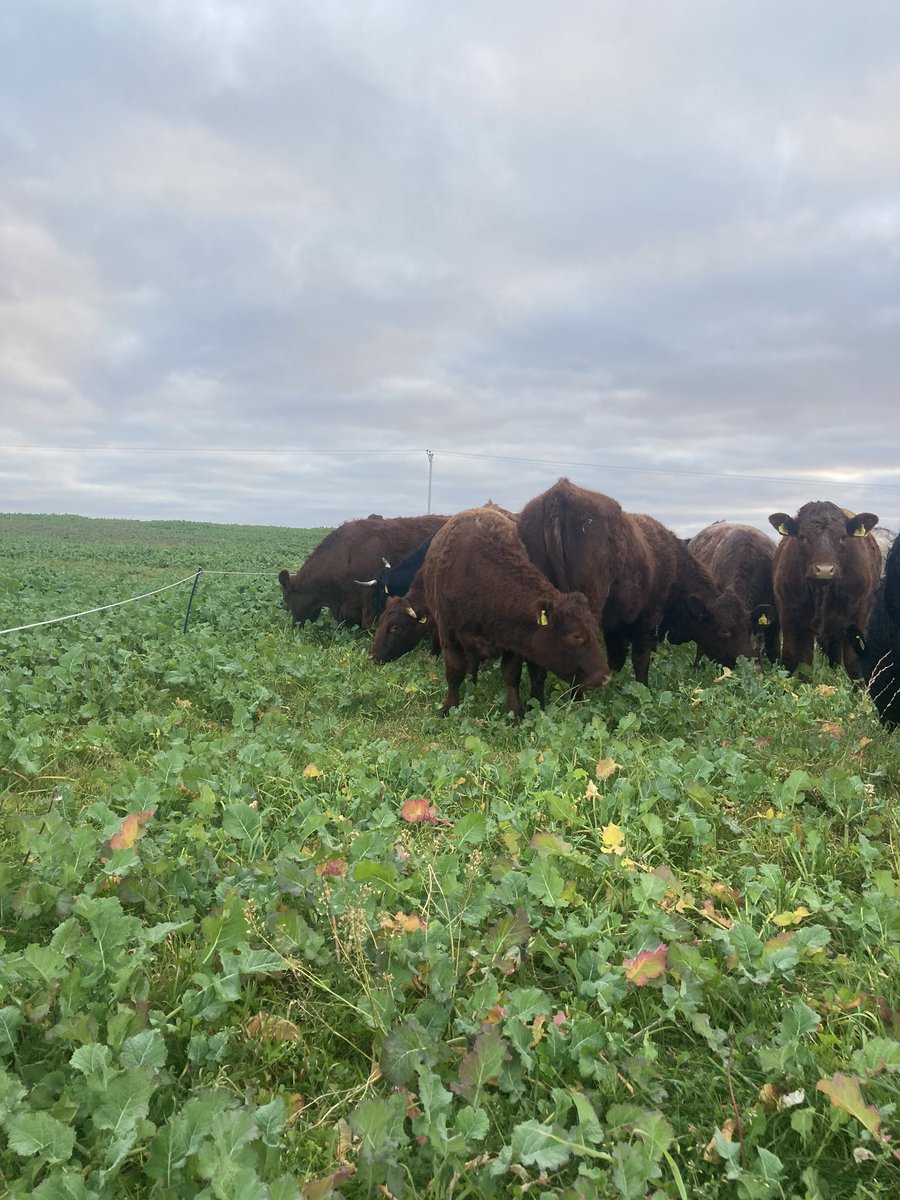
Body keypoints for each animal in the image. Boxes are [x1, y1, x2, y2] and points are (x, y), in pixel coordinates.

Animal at [424, 504, 614, 715]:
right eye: (576, 635)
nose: (605, 677)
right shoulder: (447, 632)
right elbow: (454, 671)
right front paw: (449, 706)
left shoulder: (515, 636)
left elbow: (511, 674)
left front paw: (515, 711)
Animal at [768, 501, 883, 681]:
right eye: (802, 537)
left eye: (843, 537)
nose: (824, 570)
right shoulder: (789, 615)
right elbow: (796, 659)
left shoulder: (858, 615)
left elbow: (853, 661)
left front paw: (860, 688)